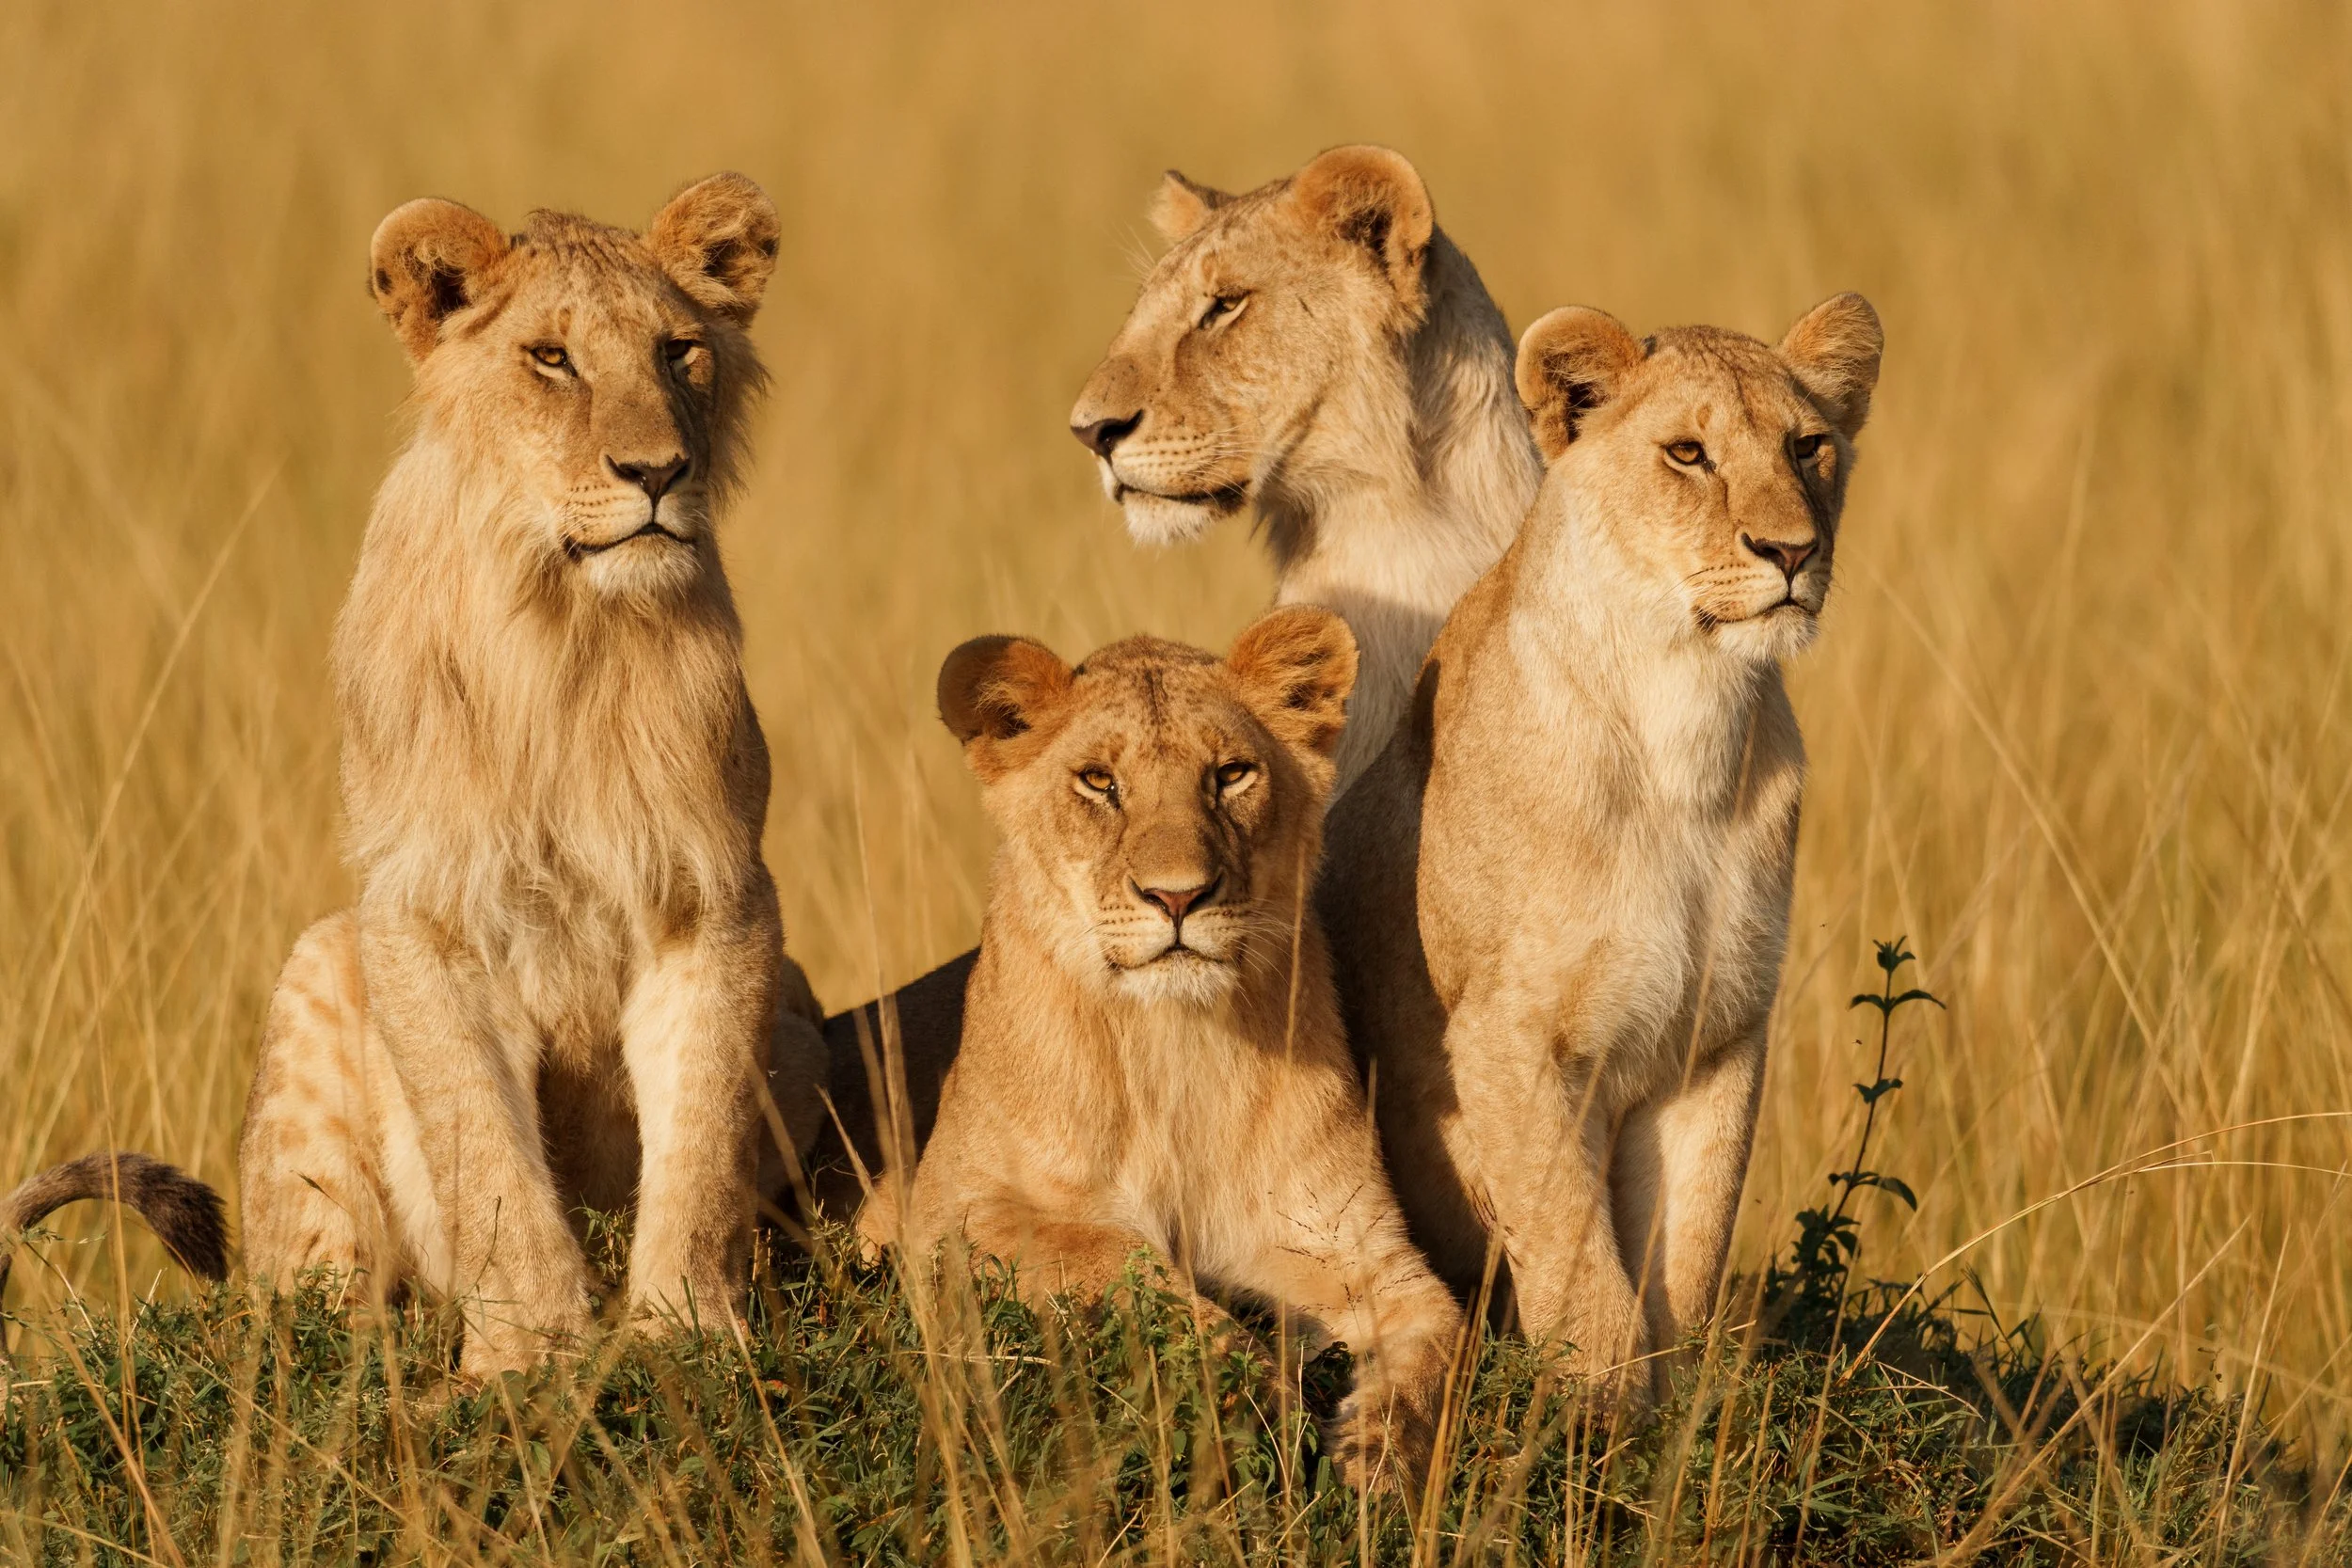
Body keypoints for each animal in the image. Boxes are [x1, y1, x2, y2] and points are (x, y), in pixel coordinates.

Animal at [227, 175, 827, 1375]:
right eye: (552, 358)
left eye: (679, 350)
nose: (657, 473)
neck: (566, 631)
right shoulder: (422, 907)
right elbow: (482, 1148)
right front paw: (526, 1352)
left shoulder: (721, 899)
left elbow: (700, 1136)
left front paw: (688, 1328)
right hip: (320, 964)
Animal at [869, 609, 1466, 1488]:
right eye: (1097, 782)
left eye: (1231, 774)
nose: (1178, 895)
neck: (1172, 1047)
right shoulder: (948, 1211)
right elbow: (1109, 1252)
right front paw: (1250, 1389)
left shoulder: (1360, 1244)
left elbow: (1440, 1337)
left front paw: (1381, 1456)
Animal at [1321, 295, 1885, 1403]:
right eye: (1687, 453)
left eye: (1808, 446)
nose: (1791, 551)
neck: (1687, 723)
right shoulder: (1505, 1036)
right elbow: (1574, 1251)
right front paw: (1599, 1410)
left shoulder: (1718, 1034)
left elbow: (1691, 1247)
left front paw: (1685, 1406)